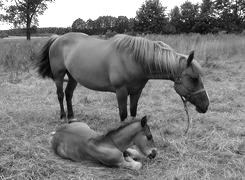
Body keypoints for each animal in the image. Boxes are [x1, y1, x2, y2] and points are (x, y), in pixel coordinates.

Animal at [36, 32, 209, 122]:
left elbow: (132, 112)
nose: (206, 105)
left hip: (73, 77)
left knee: (68, 94)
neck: (134, 59)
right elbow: (123, 115)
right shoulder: (121, 91)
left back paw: (72, 117)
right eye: (194, 78)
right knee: (60, 95)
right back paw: (63, 116)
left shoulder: (137, 91)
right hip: (59, 76)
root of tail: (58, 38)